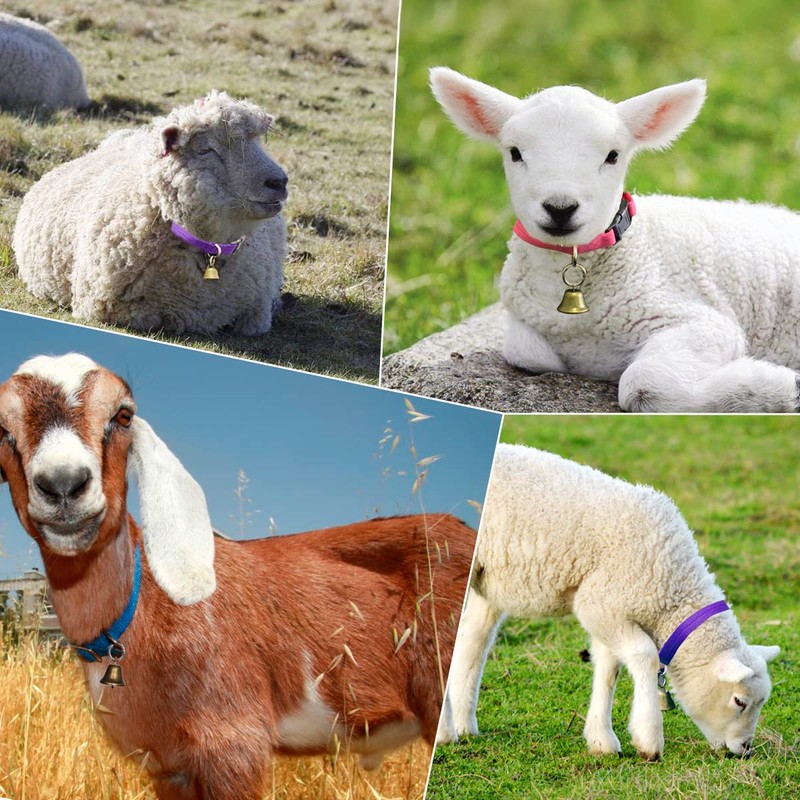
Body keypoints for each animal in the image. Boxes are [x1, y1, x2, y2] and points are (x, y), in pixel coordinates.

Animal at [0, 353, 476, 800]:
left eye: (123, 415)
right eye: (2, 429)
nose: (64, 484)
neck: (138, 613)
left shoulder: (234, 744)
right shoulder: (168, 767)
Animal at [430, 68, 800, 413]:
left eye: (612, 155)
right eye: (515, 153)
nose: (560, 208)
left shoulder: (700, 321)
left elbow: (643, 383)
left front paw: (779, 388)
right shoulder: (527, 328)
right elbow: (525, 350)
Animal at [437, 443, 779, 761]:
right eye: (739, 701)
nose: (745, 750)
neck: (672, 593)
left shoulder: (609, 610)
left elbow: (608, 669)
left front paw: (601, 740)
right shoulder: (600, 604)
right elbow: (644, 655)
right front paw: (648, 739)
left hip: (486, 582)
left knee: (473, 639)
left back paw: (464, 724)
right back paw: (445, 732)